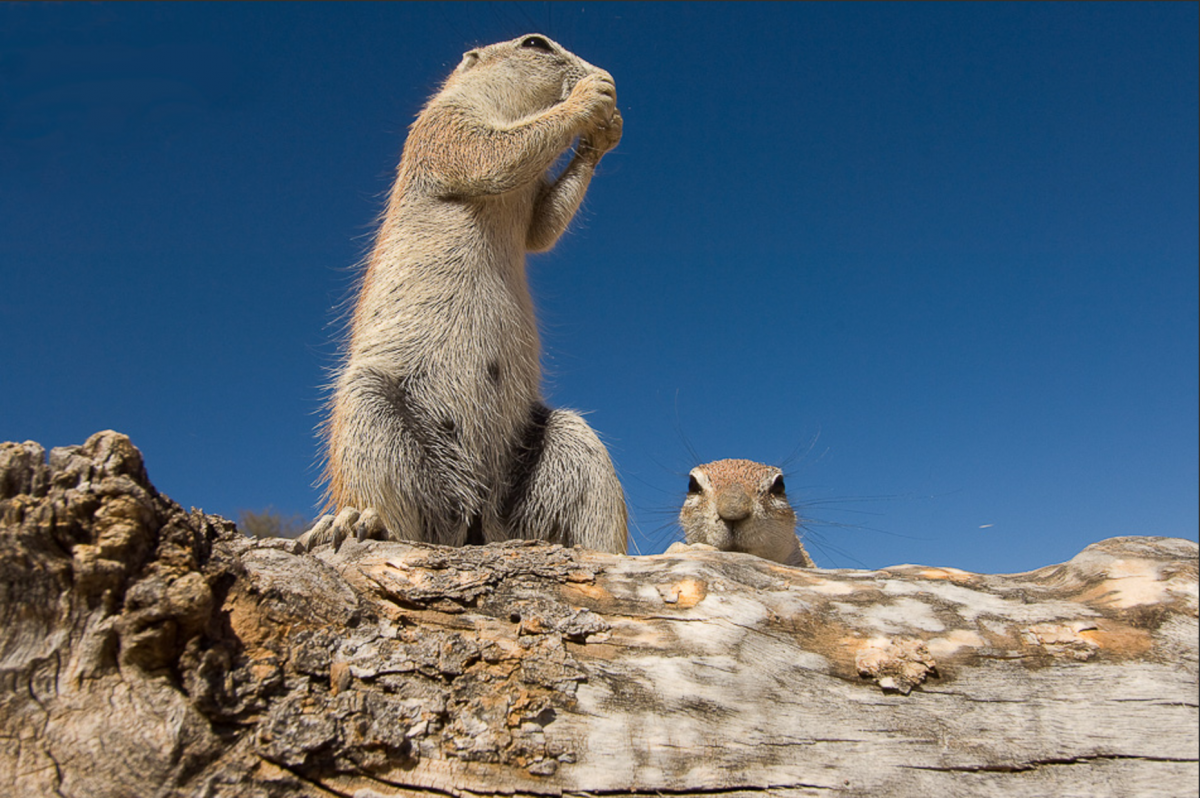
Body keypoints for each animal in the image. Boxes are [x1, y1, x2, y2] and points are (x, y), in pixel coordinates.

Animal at [300, 35, 628, 554]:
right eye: (536, 43)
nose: (608, 76)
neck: (508, 106)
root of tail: (476, 521)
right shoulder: (444, 125)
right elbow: (494, 154)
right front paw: (590, 98)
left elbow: (542, 227)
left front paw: (606, 132)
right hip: (365, 406)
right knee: (394, 510)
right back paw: (353, 522)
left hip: (570, 441)